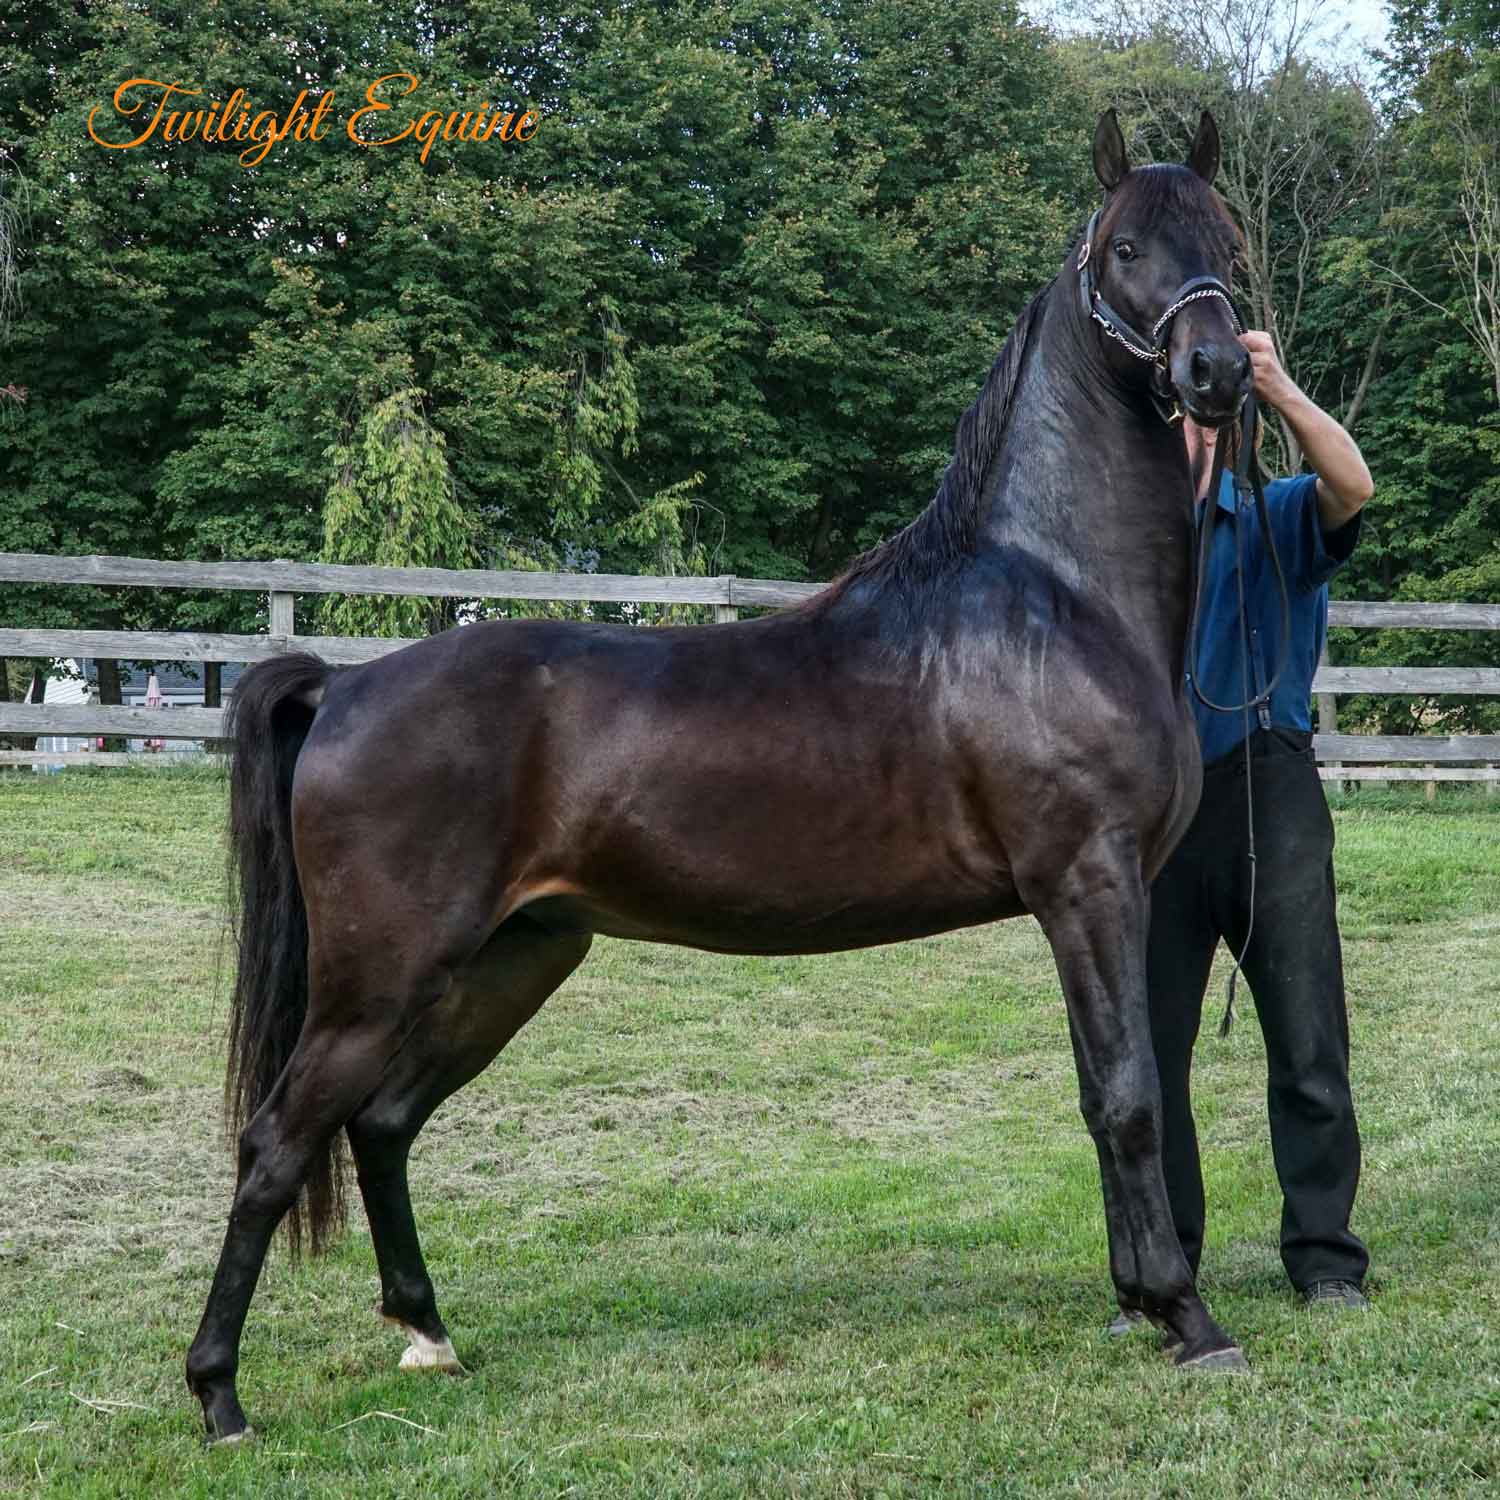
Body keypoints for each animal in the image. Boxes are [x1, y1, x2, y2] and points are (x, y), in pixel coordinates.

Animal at [187, 108, 1254, 1442]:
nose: (1216, 375)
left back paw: (428, 1334)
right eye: (1123, 250)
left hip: (512, 959)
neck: (1053, 598)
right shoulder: (1091, 884)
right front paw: (1189, 1317)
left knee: (381, 1125)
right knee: (278, 1141)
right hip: (377, 983)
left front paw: (1137, 1301)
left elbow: (1103, 1090)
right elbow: (1131, 1095)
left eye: (1228, 241)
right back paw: (220, 1396)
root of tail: (345, 687)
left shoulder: (1086, 902)